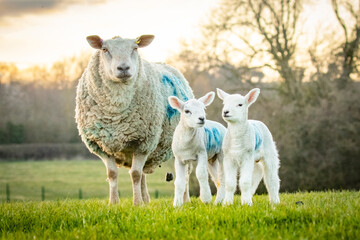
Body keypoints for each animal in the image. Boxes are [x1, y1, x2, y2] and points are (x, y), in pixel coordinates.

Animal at [75, 34, 194, 205]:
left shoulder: (143, 142)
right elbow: (113, 174)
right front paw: (114, 203)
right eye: (104, 49)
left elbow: (135, 174)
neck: (116, 111)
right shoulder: (100, 144)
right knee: (143, 173)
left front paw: (136, 203)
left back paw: (185, 200)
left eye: (135, 48)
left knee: (185, 174)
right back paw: (146, 200)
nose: (124, 68)